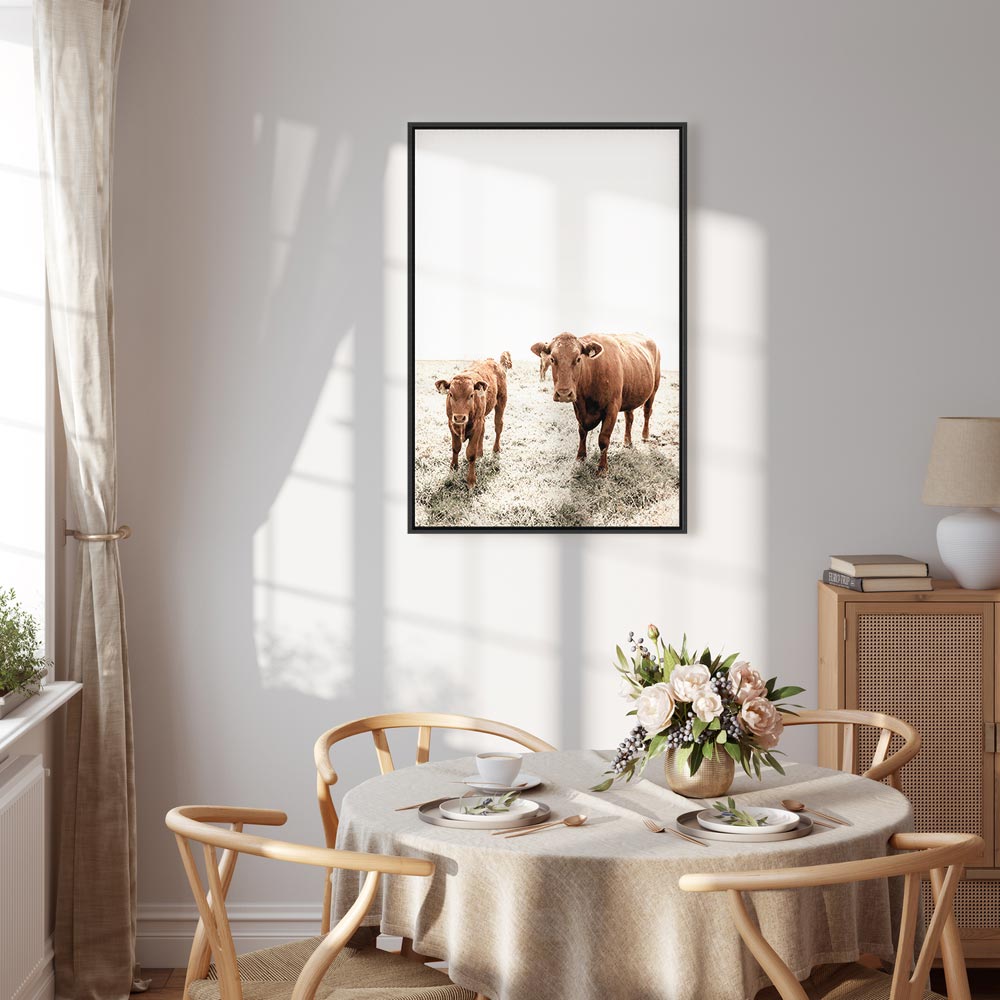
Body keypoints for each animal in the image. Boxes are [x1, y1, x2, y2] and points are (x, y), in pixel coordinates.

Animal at [434, 352, 512, 488]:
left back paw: (496, 449)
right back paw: (480, 452)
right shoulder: (451, 423)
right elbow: (456, 447)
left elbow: (470, 453)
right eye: (450, 394)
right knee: (484, 429)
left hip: (501, 401)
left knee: (498, 426)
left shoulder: (476, 425)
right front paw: (453, 467)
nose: (460, 417)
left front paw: (471, 480)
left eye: (471, 395)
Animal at [531, 332, 660, 475]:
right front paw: (580, 457)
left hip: (654, 389)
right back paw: (627, 442)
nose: (564, 393)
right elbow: (582, 433)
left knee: (647, 412)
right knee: (629, 418)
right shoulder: (579, 409)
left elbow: (603, 439)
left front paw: (602, 468)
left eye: (578, 359)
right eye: (552, 359)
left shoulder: (612, 409)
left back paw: (645, 436)